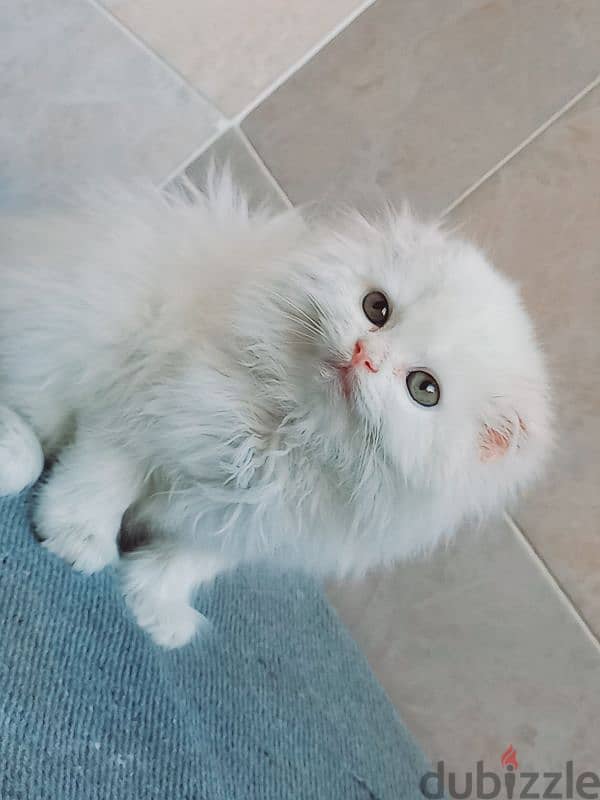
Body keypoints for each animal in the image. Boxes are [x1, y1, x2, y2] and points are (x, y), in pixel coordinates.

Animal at [0, 173, 552, 644]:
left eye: (423, 389)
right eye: (376, 308)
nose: (364, 355)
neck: (291, 430)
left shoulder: (257, 523)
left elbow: (188, 562)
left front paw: (157, 610)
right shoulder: (142, 414)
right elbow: (102, 482)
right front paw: (78, 538)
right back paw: (12, 450)